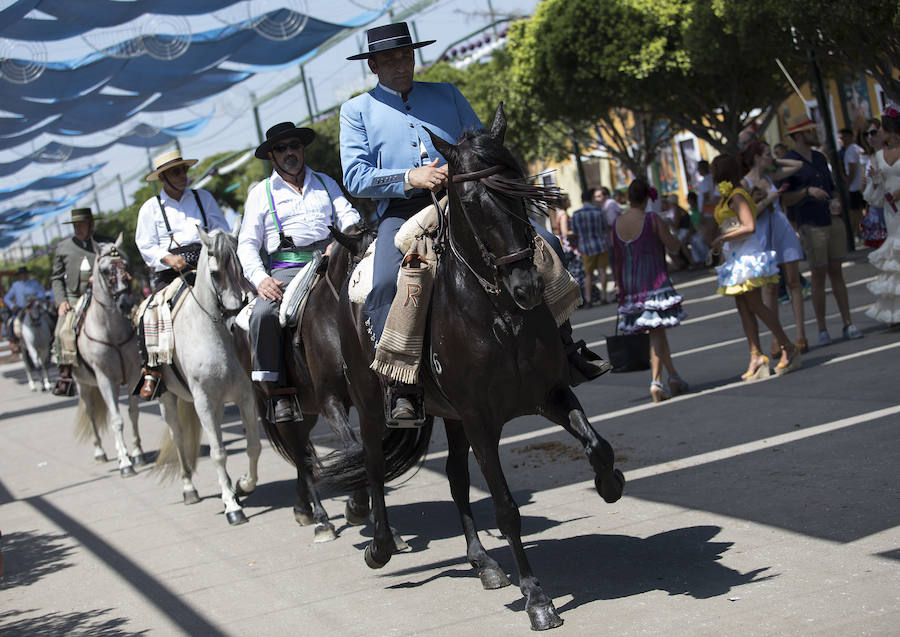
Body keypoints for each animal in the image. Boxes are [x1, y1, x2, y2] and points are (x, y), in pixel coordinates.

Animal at [72, 236, 144, 474]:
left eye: (126, 265)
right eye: (104, 270)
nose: (125, 303)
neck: (111, 331)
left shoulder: (133, 375)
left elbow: (133, 412)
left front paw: (137, 453)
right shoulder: (105, 379)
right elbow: (116, 419)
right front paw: (125, 462)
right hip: (83, 385)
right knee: (91, 414)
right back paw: (100, 452)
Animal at [152, 221, 260, 524]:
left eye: (242, 267)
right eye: (214, 273)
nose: (235, 315)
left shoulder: (245, 396)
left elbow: (253, 445)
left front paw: (243, 485)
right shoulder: (203, 400)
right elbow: (218, 453)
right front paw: (233, 507)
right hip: (168, 400)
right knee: (178, 438)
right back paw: (189, 489)